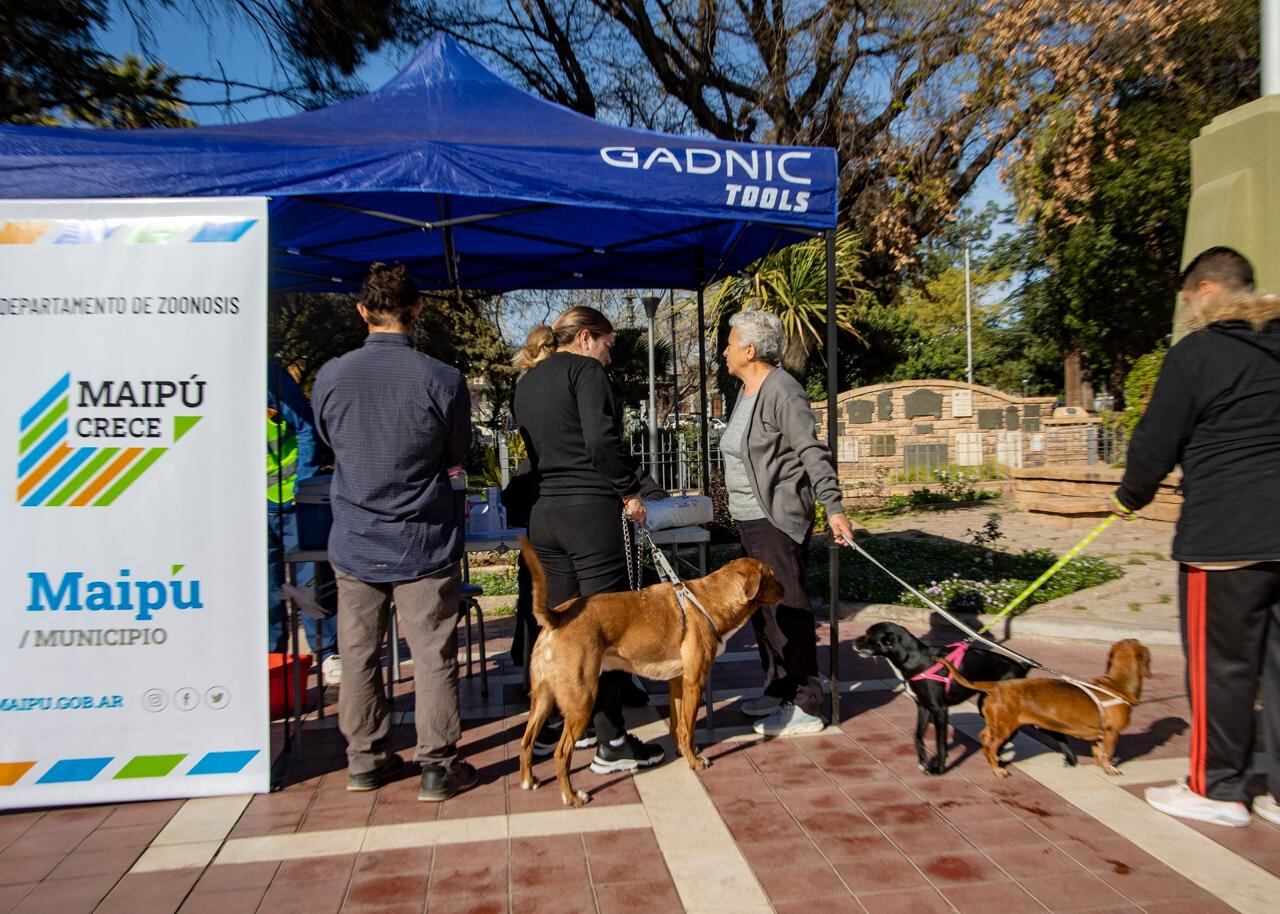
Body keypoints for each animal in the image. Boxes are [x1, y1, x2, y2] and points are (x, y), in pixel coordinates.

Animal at [517, 535, 778, 803]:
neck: (707, 600)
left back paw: (529, 780)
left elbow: (678, 726)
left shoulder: (678, 681)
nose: (785, 590)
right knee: (561, 754)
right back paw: (571, 796)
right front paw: (694, 762)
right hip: (582, 701)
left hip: (543, 699)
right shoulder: (694, 682)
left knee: (525, 742)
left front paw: (683, 752)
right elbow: (689, 728)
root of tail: (557, 617)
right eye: (772, 575)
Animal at [855, 619, 1075, 768]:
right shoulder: (924, 707)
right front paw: (923, 762)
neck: (916, 659)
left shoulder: (940, 710)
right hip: (987, 704)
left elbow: (941, 744)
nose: (854, 643)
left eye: (868, 637)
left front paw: (938, 768)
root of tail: (1021, 666)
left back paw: (1070, 759)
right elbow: (917, 737)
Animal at [942, 640, 1152, 778]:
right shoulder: (1111, 733)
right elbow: (1107, 753)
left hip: (997, 723)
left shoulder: (1098, 735)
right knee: (990, 745)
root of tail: (996, 686)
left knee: (984, 738)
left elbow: (1098, 752)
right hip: (1005, 727)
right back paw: (997, 769)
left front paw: (1101, 764)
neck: (1116, 685)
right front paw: (1110, 768)